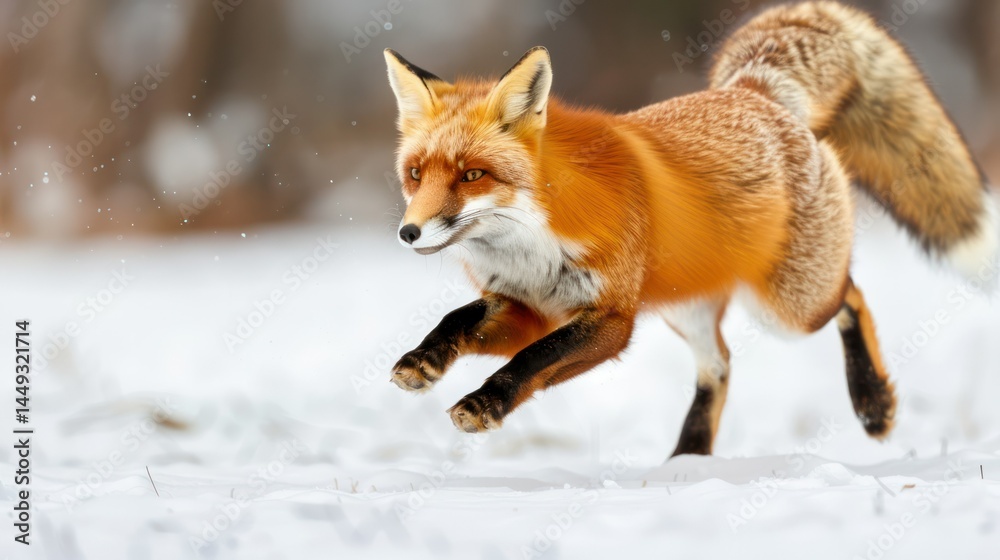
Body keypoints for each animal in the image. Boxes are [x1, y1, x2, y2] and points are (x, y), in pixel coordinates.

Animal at [382, 1, 998, 456]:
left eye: (472, 175)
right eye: (415, 174)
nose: (409, 233)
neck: (530, 245)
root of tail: (753, 90)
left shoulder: (612, 319)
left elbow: (531, 361)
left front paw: (484, 406)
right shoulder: (525, 305)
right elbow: (457, 320)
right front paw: (423, 360)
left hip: (787, 309)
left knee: (852, 297)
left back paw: (872, 403)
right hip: (687, 304)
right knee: (719, 365)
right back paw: (689, 460)